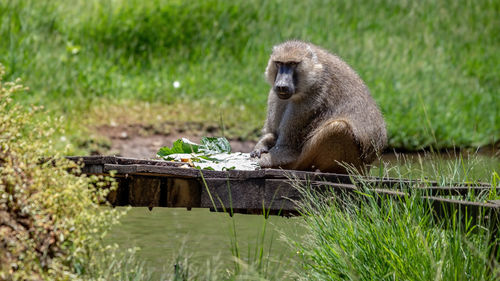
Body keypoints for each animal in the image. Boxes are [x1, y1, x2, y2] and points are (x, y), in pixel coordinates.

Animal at [252, 40, 388, 173]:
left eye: (292, 64)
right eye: (279, 63)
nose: (281, 86)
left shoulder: (311, 99)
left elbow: (287, 150)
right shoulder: (276, 96)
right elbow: (273, 134)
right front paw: (261, 145)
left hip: (354, 165)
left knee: (339, 128)